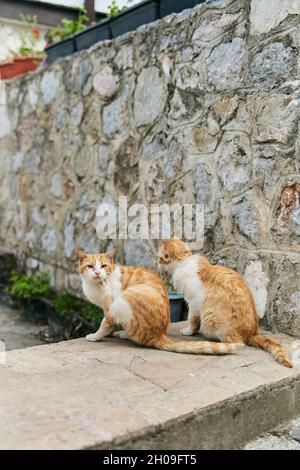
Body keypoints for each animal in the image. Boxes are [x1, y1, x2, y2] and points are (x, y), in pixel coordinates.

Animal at [76, 248, 243, 354]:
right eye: (90, 266)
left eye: (103, 266)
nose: (98, 273)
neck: (94, 286)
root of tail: (159, 335)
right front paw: (108, 333)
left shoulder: (111, 306)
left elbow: (105, 322)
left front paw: (95, 336)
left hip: (127, 297)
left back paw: (125, 333)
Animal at [158, 239, 292, 368]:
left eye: (160, 258)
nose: (157, 263)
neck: (184, 262)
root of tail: (253, 332)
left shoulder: (194, 303)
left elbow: (192, 320)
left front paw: (189, 331)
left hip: (211, 317)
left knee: (235, 342)